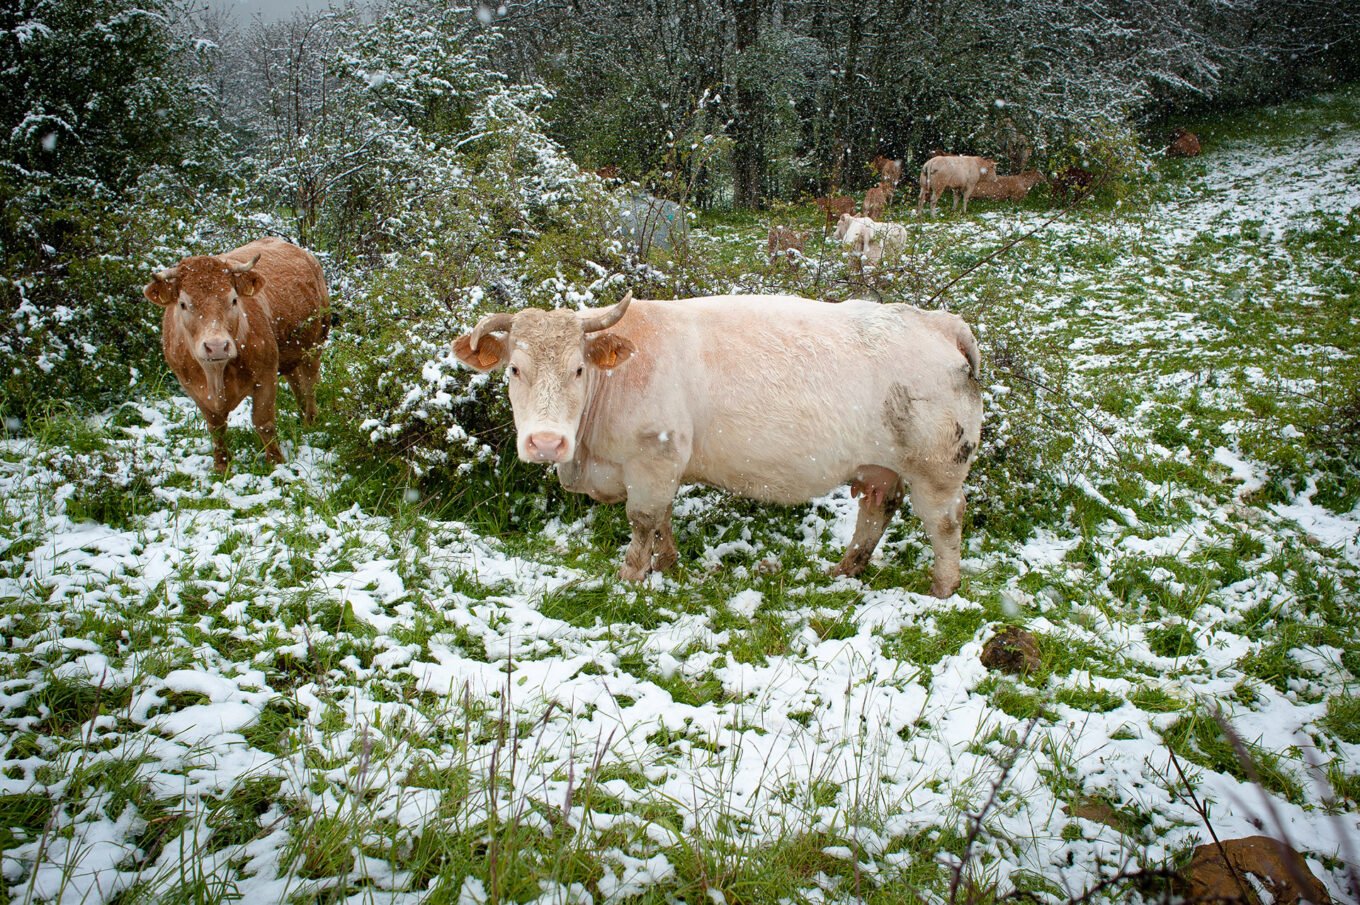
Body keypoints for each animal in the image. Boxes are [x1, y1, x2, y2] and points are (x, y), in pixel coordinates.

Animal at [451, 292, 984, 596]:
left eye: (578, 369)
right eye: (514, 369)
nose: (546, 442)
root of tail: (938, 322)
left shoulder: (653, 457)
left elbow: (642, 519)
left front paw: (630, 577)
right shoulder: (660, 466)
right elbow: (663, 519)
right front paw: (667, 564)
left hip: (936, 466)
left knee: (945, 521)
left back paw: (943, 587)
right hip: (881, 467)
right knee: (877, 510)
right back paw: (844, 570)